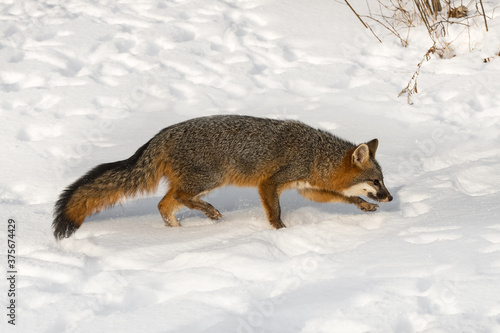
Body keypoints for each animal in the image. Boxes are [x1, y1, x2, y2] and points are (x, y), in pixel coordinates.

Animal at [53, 115, 390, 239]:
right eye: (377, 181)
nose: (389, 197)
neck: (315, 154)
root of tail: (162, 134)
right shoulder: (270, 183)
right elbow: (276, 212)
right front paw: (281, 233)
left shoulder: (307, 187)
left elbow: (345, 197)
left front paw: (365, 206)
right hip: (211, 179)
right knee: (176, 199)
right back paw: (211, 214)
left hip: (198, 183)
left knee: (164, 204)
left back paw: (176, 231)